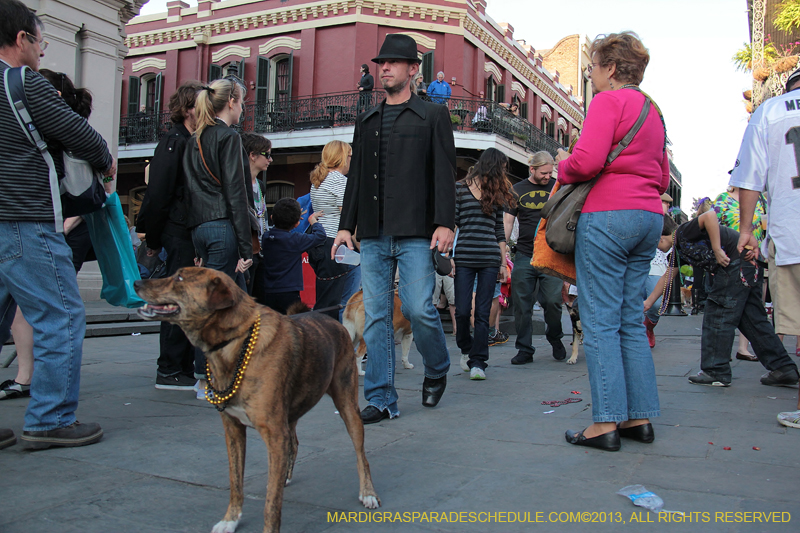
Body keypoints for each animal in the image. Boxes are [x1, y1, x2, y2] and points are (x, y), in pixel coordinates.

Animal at [134, 268, 378, 528]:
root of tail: (333, 321)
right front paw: (230, 519)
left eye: (180, 278)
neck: (237, 341)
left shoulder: (274, 432)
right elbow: (236, 480)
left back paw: (368, 493)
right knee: (294, 443)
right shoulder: (233, 429)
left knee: (361, 455)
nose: (137, 282)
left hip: (347, 406)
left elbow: (271, 503)